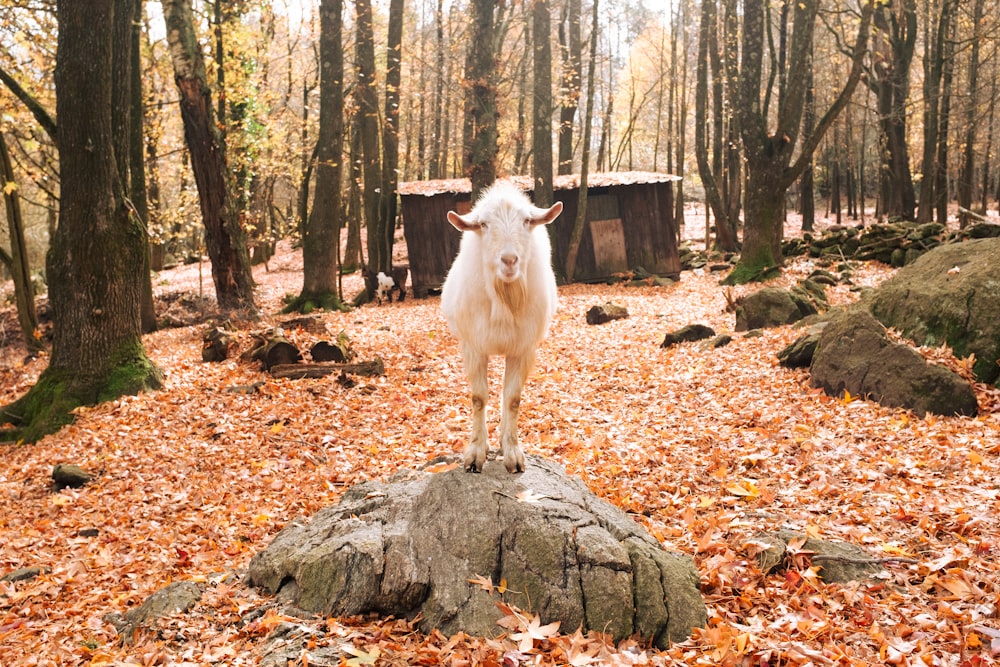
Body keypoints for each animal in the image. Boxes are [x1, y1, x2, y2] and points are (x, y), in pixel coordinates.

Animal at [440, 181, 564, 474]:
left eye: (527, 221)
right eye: (484, 224)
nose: (509, 260)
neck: (504, 297)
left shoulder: (523, 349)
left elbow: (513, 399)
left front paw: (513, 454)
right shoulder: (473, 347)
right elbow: (478, 398)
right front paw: (475, 454)